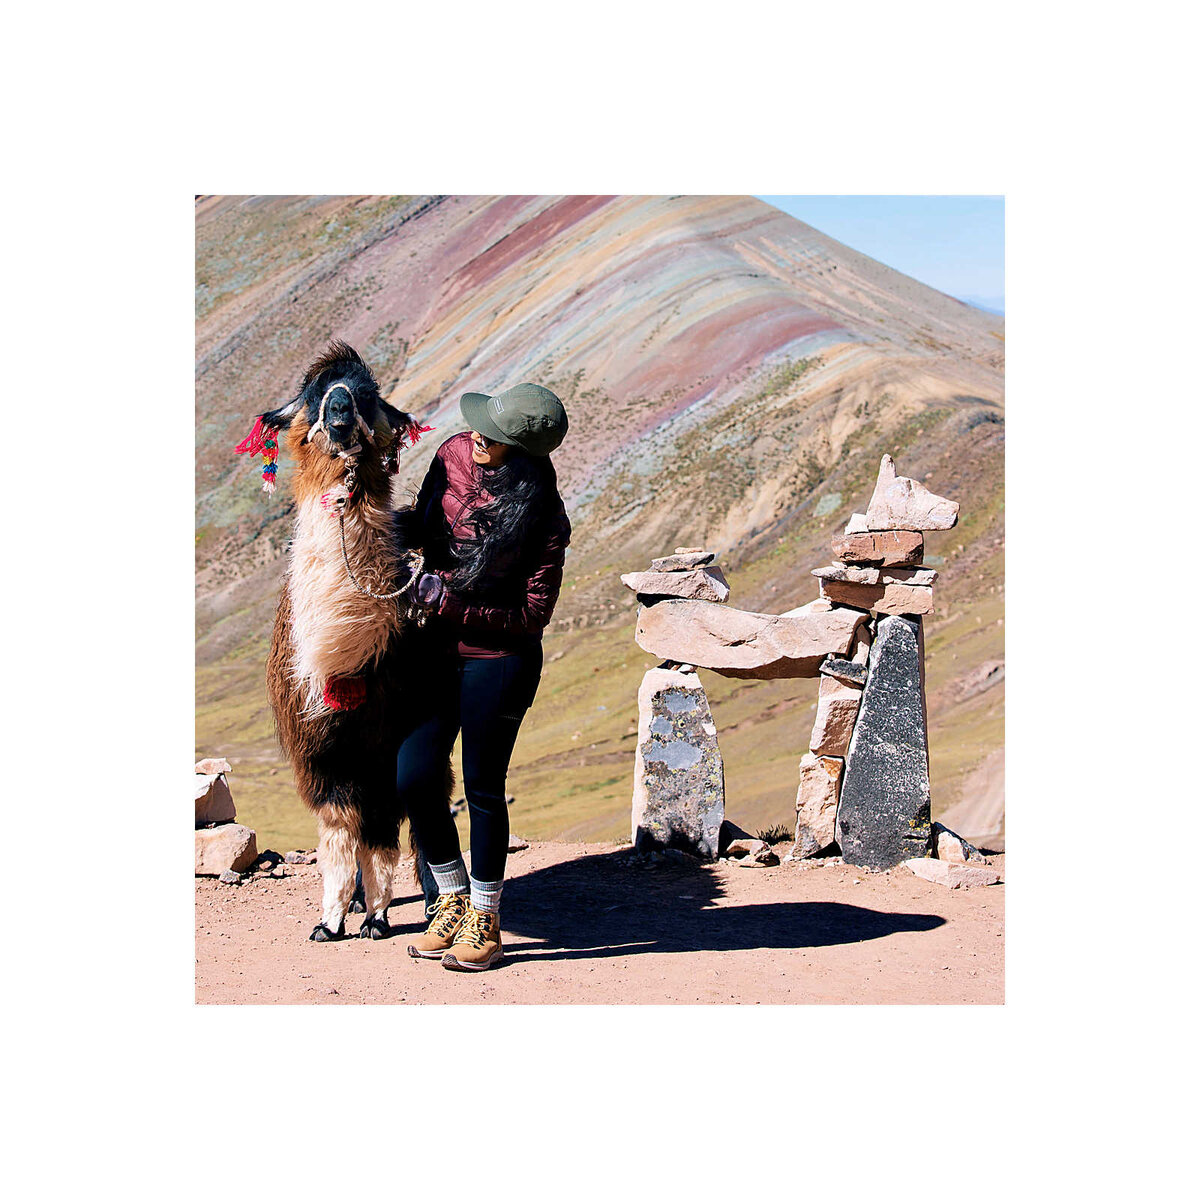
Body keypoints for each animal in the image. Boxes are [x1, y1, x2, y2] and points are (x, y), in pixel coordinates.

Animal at [237, 341, 444, 940]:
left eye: (369, 394)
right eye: (311, 395)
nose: (339, 410)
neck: (346, 657)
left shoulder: (389, 742)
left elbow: (381, 834)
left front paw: (377, 916)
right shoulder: (320, 755)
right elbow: (336, 832)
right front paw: (330, 919)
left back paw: (426, 903)